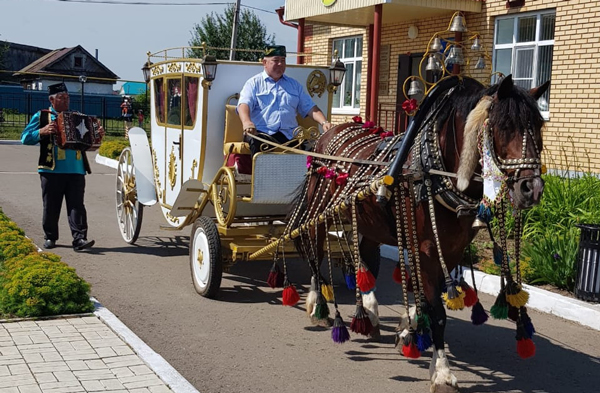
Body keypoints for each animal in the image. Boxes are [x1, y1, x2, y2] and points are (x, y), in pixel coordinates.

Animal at [286, 74, 548, 392]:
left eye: (538, 125)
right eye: (505, 125)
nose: (531, 189)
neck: (435, 171)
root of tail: (328, 133)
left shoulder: (449, 248)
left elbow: (421, 291)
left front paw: (408, 330)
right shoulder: (426, 248)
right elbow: (437, 312)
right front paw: (442, 372)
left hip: (371, 220)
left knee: (366, 258)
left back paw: (369, 312)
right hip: (321, 211)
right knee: (316, 249)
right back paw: (318, 305)